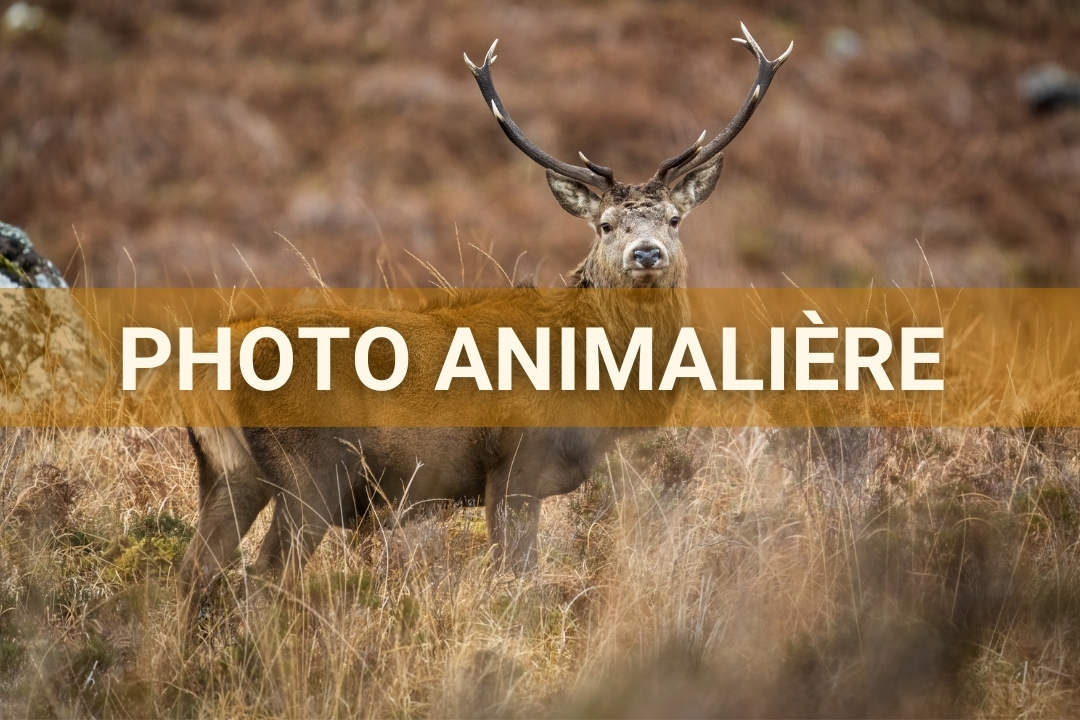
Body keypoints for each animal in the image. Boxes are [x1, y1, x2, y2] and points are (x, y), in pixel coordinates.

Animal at [174, 25, 786, 626]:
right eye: (606, 224)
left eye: (675, 219)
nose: (648, 253)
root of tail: (204, 369)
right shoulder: (516, 462)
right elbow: (517, 578)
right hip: (309, 473)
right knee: (259, 580)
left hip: (229, 471)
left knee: (195, 571)